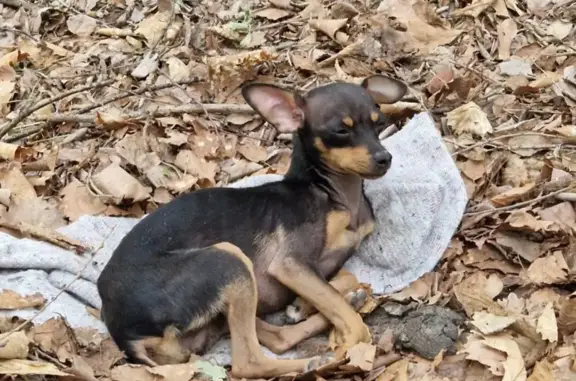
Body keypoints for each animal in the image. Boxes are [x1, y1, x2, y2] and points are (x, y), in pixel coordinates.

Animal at [97, 74, 408, 378]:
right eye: (341, 130)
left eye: (379, 123)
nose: (384, 158)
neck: (333, 194)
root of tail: (123, 336)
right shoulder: (290, 264)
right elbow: (354, 325)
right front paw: (342, 341)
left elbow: (344, 281)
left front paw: (305, 304)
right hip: (228, 259)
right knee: (250, 361)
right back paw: (320, 362)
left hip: (223, 309)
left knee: (275, 337)